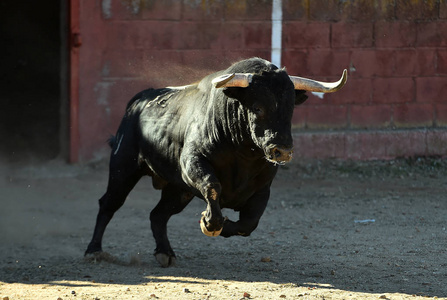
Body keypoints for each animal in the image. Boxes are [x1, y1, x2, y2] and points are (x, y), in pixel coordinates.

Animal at [86, 56, 346, 268]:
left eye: (291, 109)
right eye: (257, 107)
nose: (281, 150)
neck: (244, 154)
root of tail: (137, 102)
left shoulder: (262, 189)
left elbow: (248, 223)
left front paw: (219, 225)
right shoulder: (193, 162)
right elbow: (213, 188)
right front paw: (210, 224)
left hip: (178, 190)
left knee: (158, 215)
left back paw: (165, 253)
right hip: (123, 169)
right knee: (109, 204)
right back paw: (94, 251)